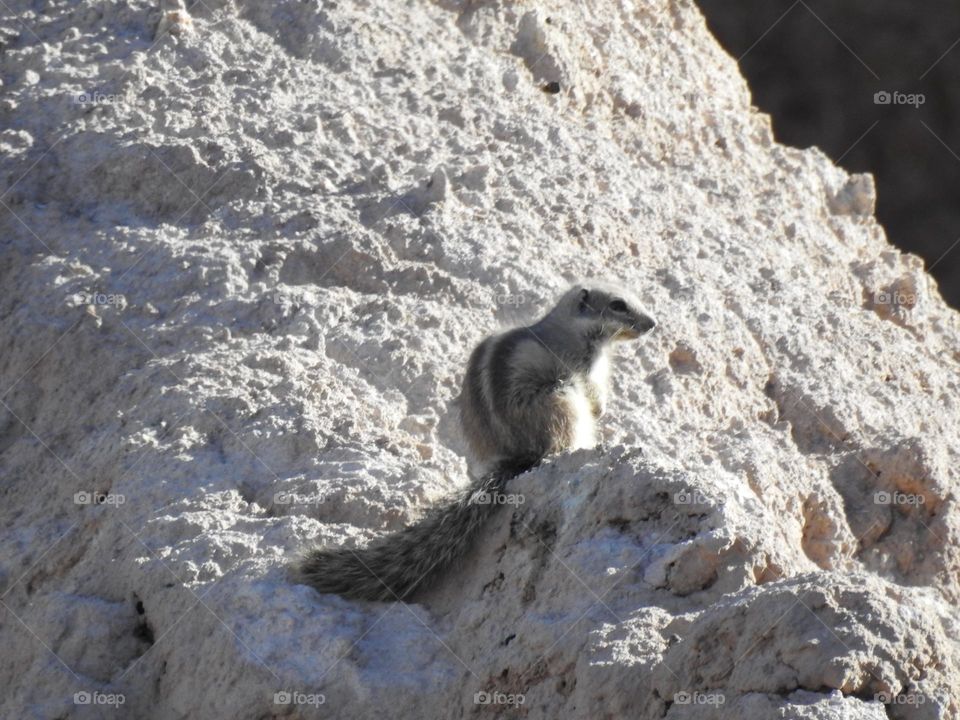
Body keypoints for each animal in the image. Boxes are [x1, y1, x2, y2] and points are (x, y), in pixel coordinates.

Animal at [296, 281, 656, 601]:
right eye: (618, 304)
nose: (652, 324)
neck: (573, 326)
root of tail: (516, 456)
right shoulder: (580, 366)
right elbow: (593, 392)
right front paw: (601, 408)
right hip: (560, 398)